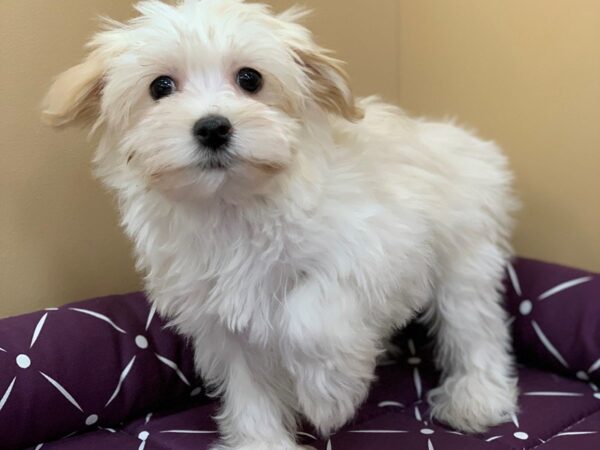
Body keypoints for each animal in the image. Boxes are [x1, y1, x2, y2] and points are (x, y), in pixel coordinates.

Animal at [44, 1, 516, 448]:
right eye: (160, 87)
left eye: (250, 79)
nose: (212, 127)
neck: (233, 206)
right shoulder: (221, 312)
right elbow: (248, 383)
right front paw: (262, 441)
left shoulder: (374, 250)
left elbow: (308, 317)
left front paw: (330, 395)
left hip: (464, 259)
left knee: (474, 328)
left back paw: (477, 397)